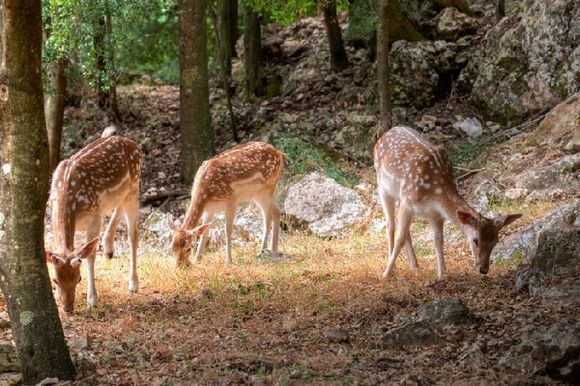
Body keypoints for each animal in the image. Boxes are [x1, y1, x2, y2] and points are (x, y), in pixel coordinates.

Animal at [46, 135, 142, 310]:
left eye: (79, 278)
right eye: (55, 280)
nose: (68, 308)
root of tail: (134, 143)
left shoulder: (94, 215)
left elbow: (90, 256)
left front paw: (92, 299)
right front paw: (56, 295)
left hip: (134, 187)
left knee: (133, 235)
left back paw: (133, 283)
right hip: (119, 195)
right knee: (119, 208)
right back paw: (109, 249)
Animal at [376, 126, 520, 278]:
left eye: (496, 241)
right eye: (475, 240)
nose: (483, 269)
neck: (435, 193)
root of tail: (386, 133)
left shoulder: (436, 214)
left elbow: (439, 240)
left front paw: (442, 274)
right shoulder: (408, 200)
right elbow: (400, 238)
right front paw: (386, 274)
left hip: (398, 197)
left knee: (403, 228)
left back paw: (414, 265)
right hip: (383, 187)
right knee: (390, 224)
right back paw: (393, 266)